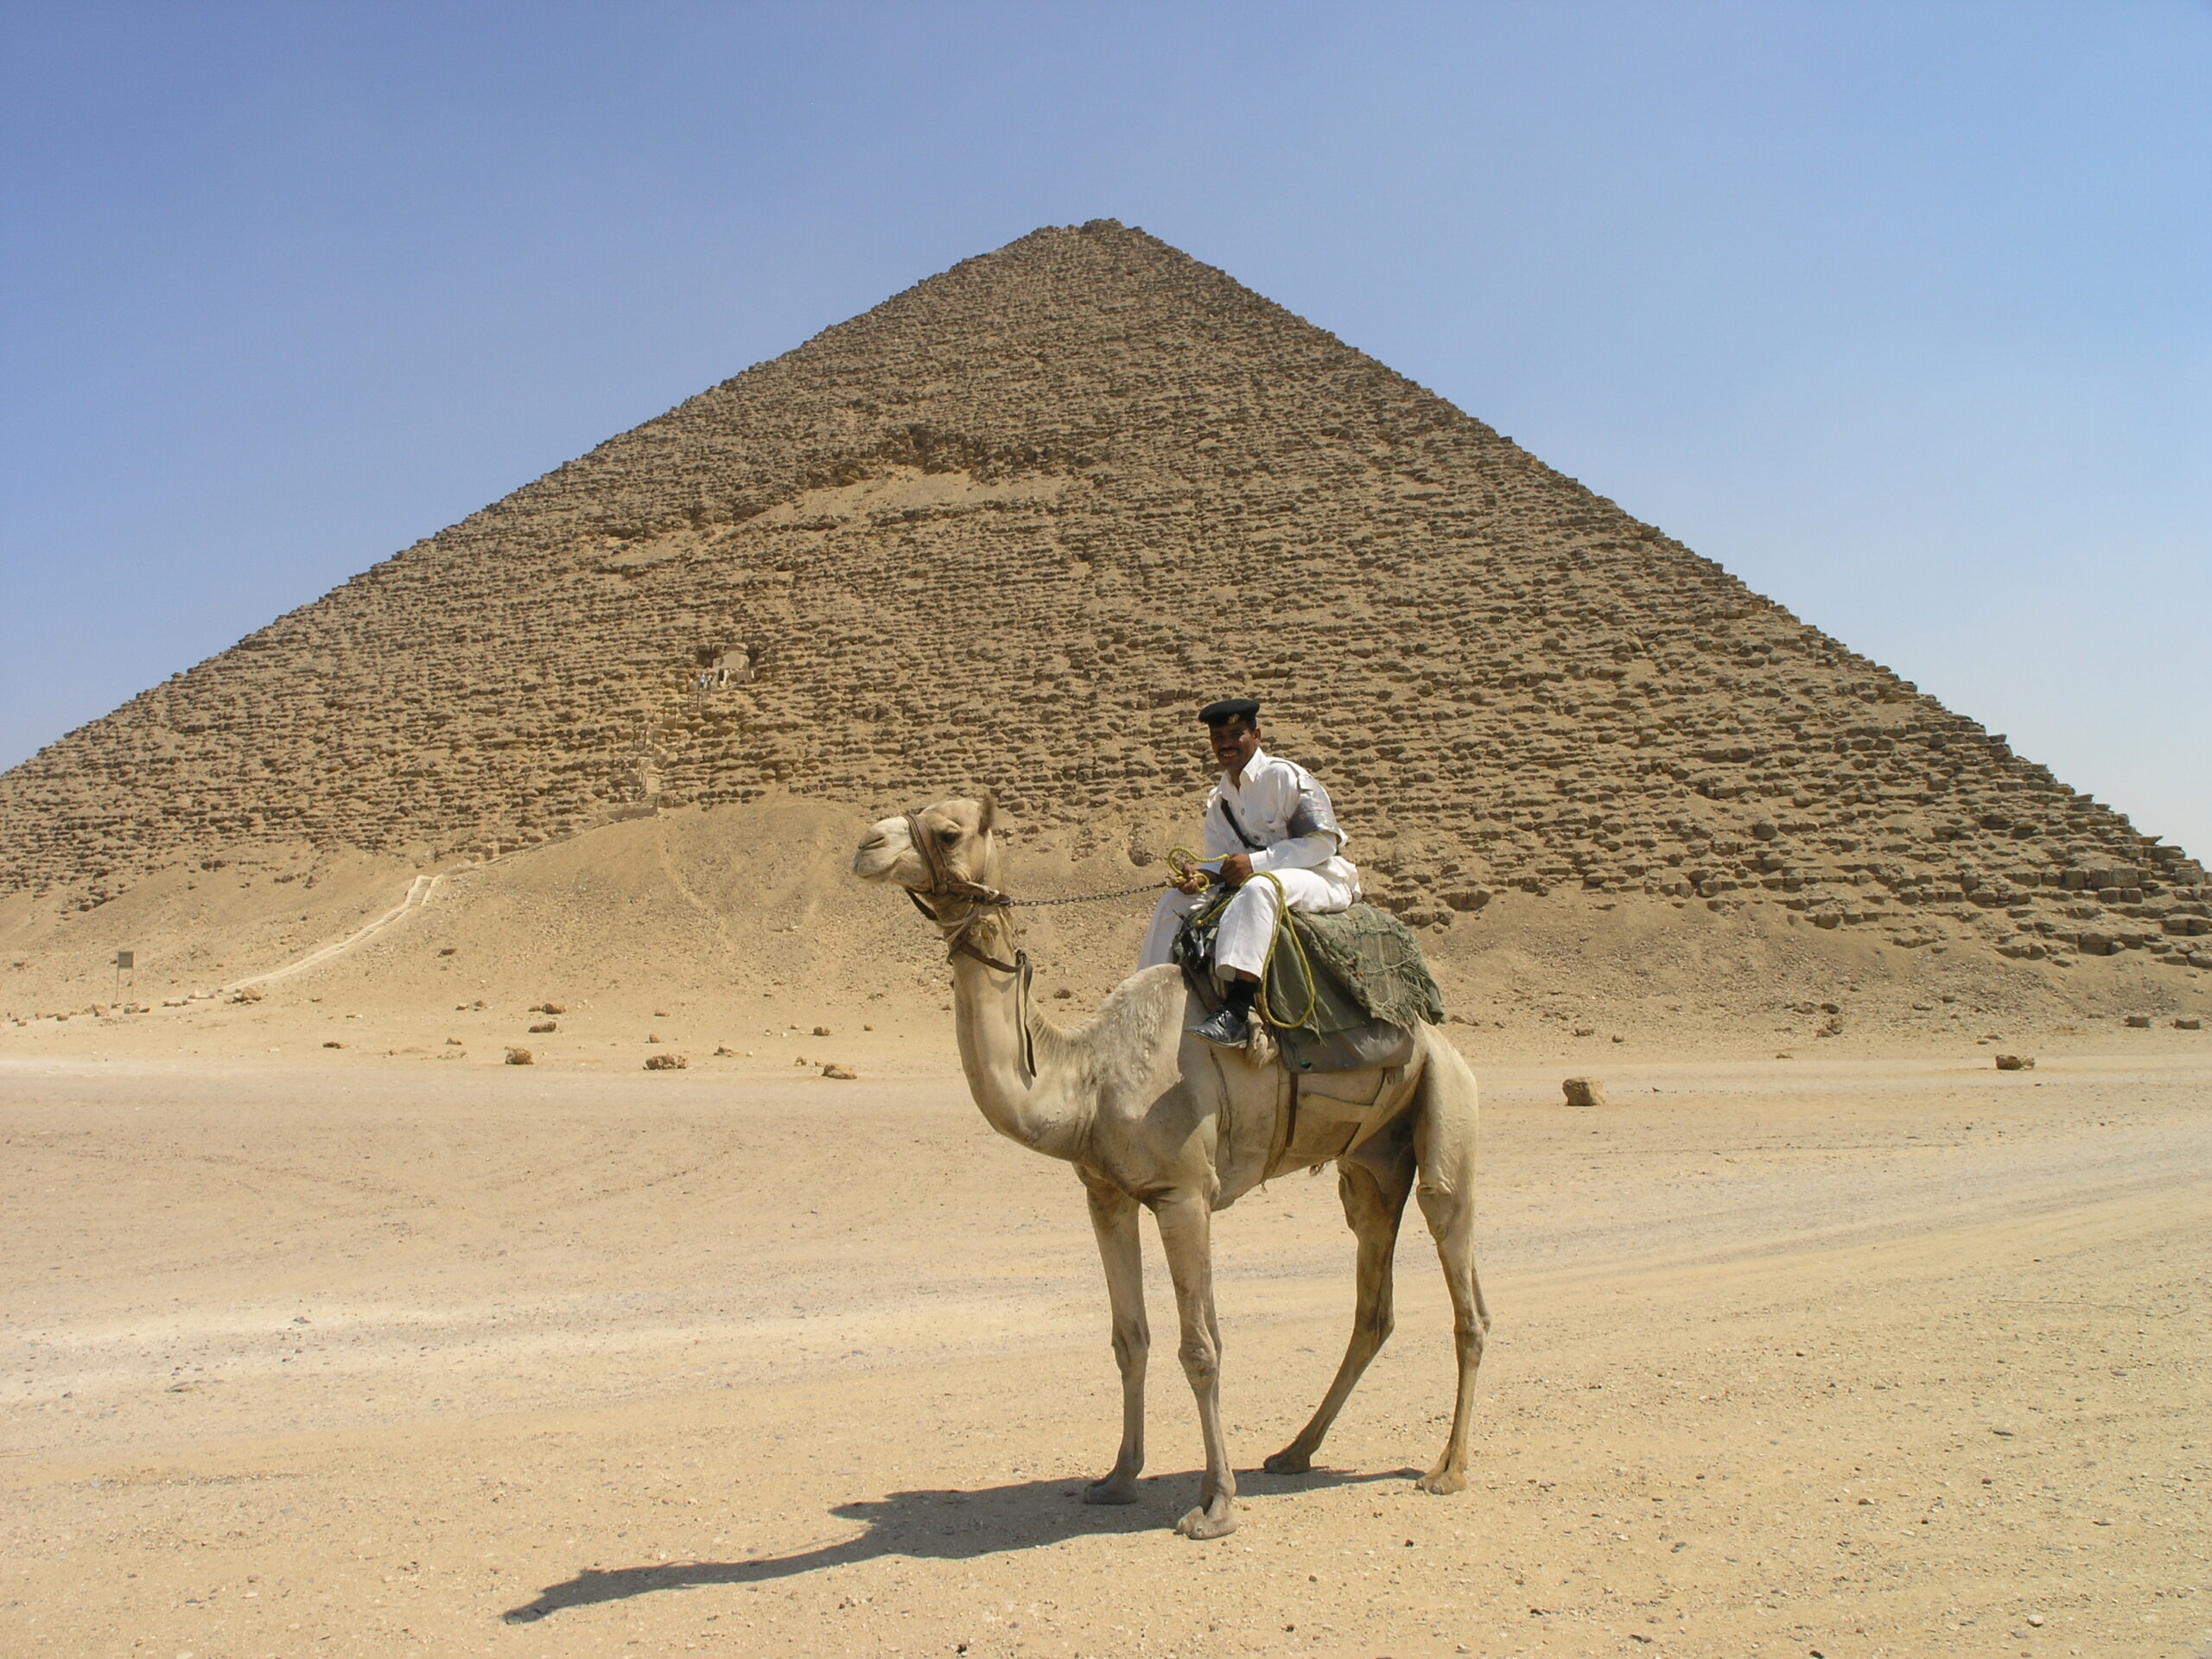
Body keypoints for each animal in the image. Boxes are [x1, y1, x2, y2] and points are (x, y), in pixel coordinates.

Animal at [852, 797, 1488, 1540]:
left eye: (949, 831)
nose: (866, 847)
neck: (1088, 1077)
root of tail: (1433, 1030)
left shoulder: (1185, 1194)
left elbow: (1201, 1348)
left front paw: (1215, 1505)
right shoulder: (1109, 1195)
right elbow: (1131, 1339)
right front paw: (1117, 1479)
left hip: (1446, 1102)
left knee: (1462, 1279)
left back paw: (1447, 1469)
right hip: (1371, 1163)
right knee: (1373, 1303)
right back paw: (1294, 1452)